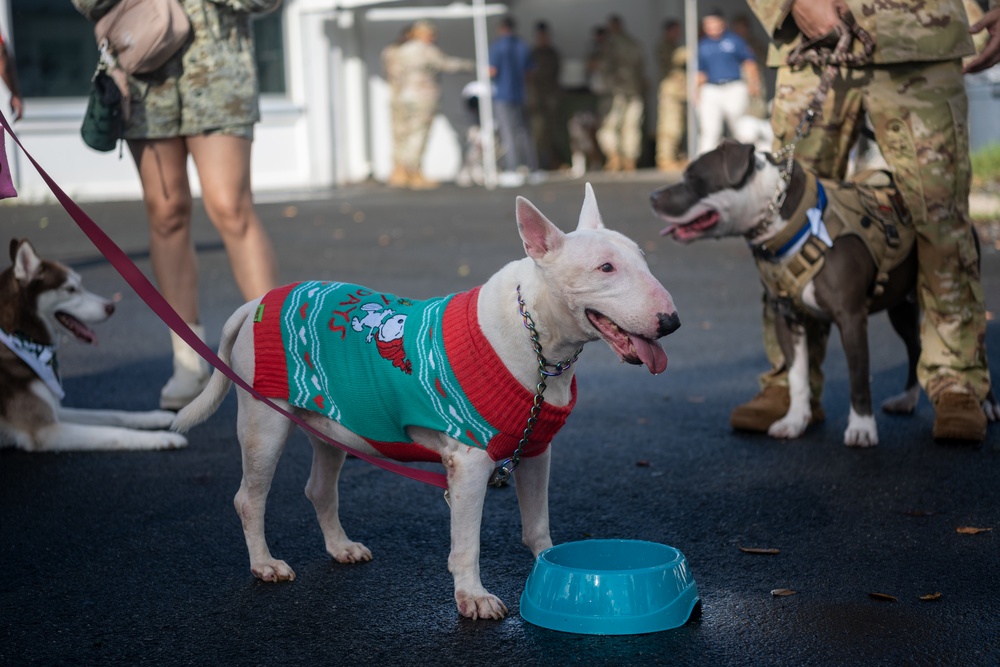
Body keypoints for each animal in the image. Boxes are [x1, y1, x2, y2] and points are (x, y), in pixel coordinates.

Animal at [176, 184, 684, 620]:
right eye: (605, 268)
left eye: (642, 259)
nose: (672, 322)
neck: (539, 340)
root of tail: (255, 303)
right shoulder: (470, 463)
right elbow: (467, 543)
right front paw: (473, 598)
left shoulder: (536, 450)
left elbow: (537, 524)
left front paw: (554, 567)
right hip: (264, 421)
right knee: (249, 498)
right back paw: (265, 564)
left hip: (331, 423)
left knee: (319, 488)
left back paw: (341, 547)